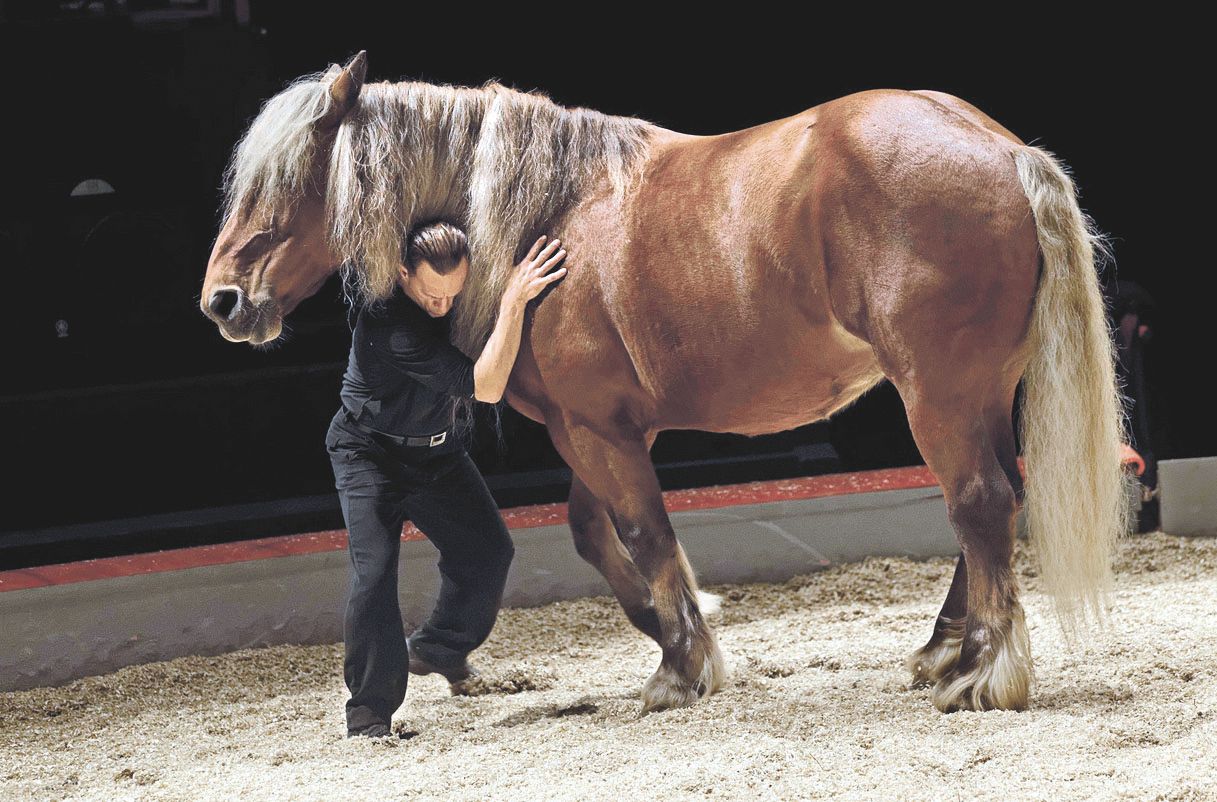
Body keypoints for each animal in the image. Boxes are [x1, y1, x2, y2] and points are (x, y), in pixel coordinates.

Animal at [200, 52, 1128, 713]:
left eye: (288, 178)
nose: (222, 300)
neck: (550, 212)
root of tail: (1000, 149)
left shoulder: (596, 430)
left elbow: (643, 534)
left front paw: (681, 667)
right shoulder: (599, 428)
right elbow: (595, 536)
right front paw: (684, 631)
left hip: (936, 394)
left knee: (978, 503)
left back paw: (978, 673)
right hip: (979, 392)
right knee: (996, 500)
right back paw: (942, 651)